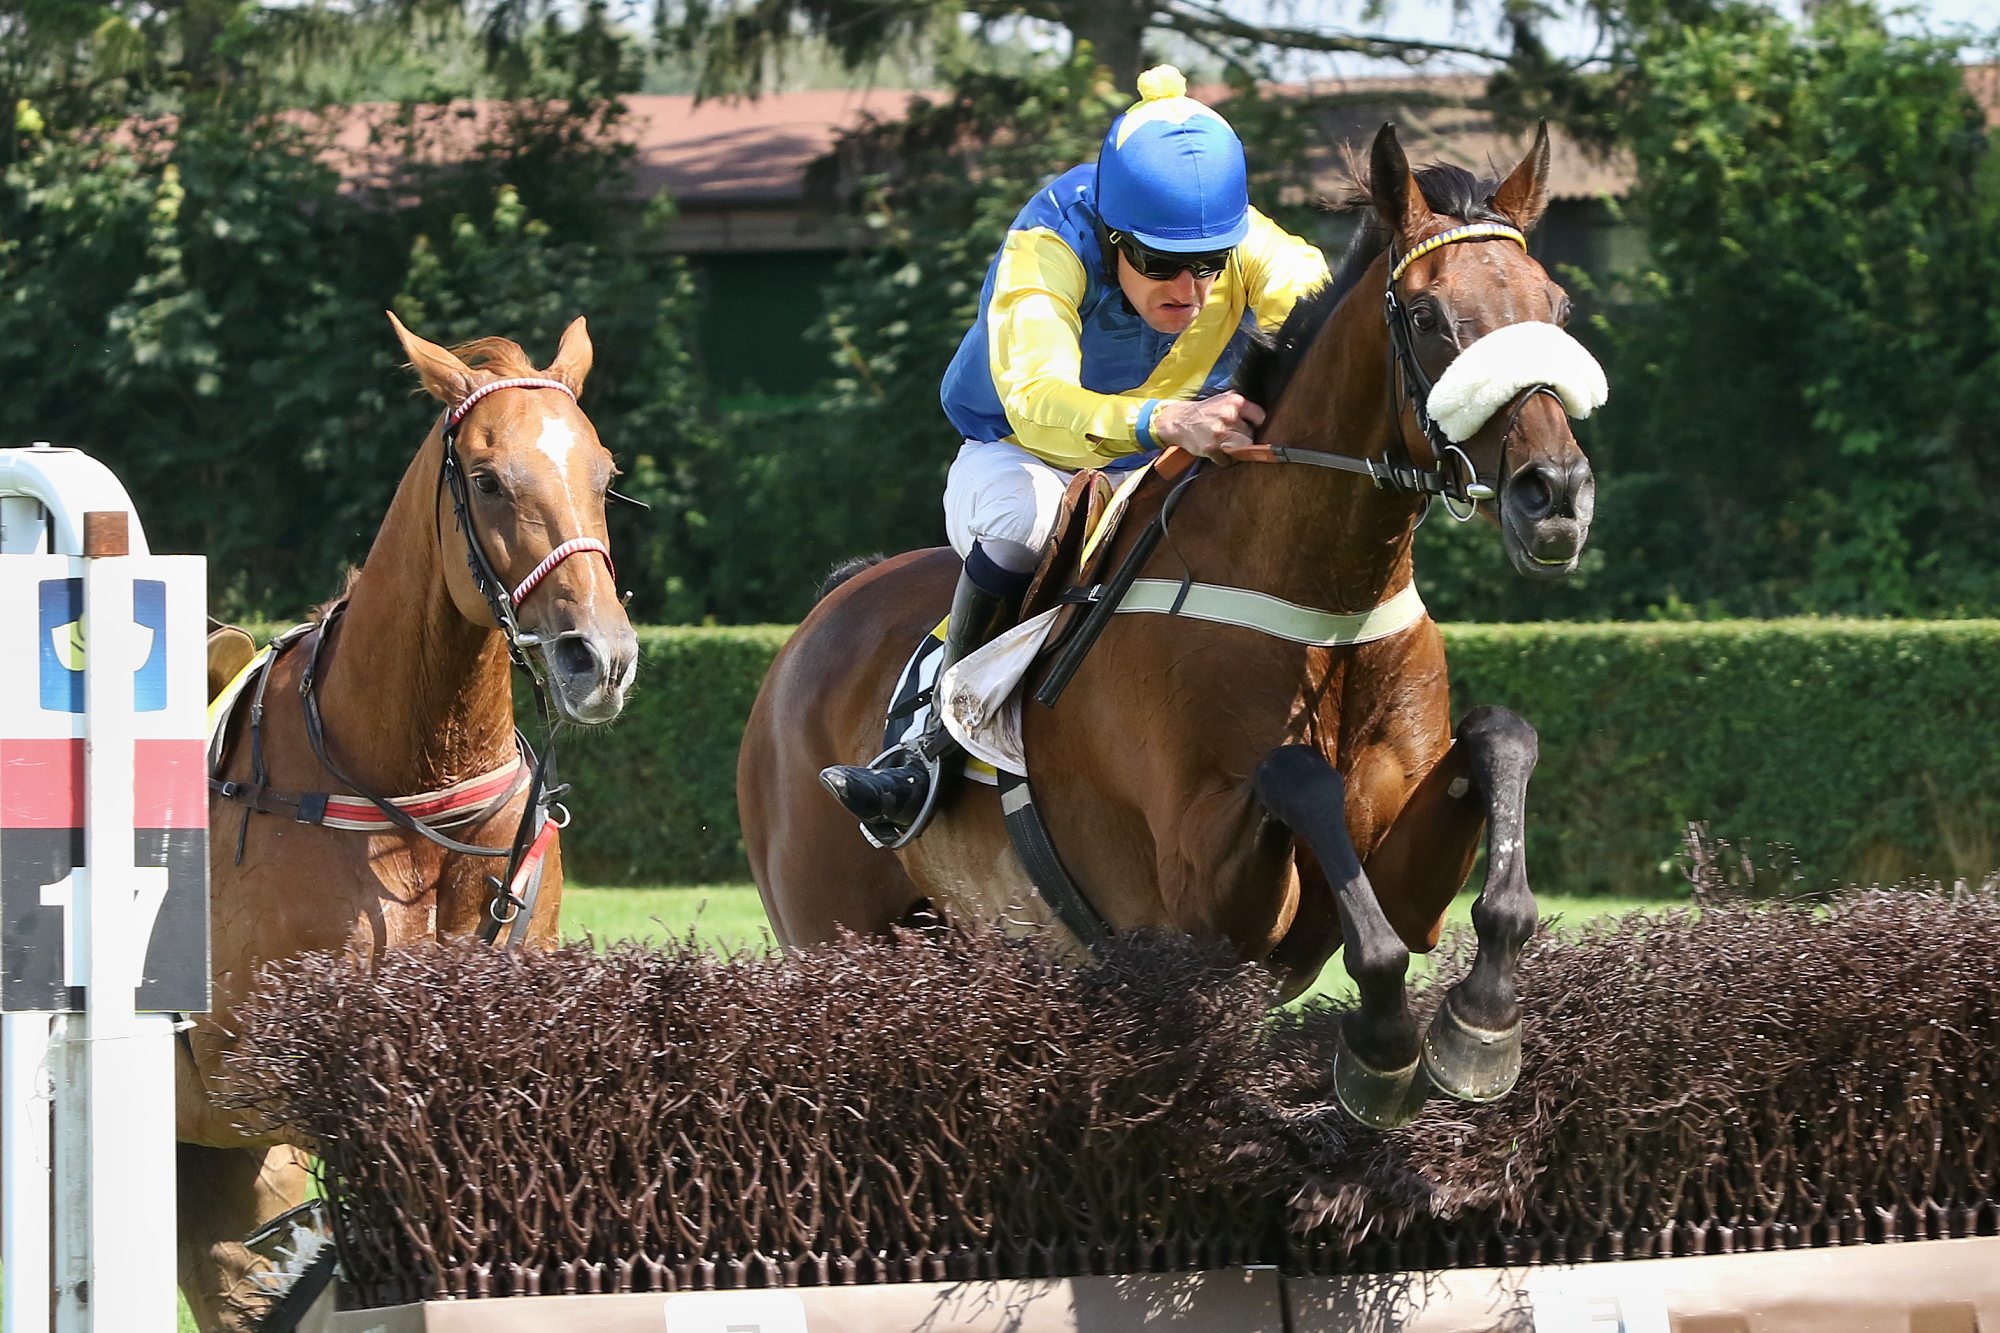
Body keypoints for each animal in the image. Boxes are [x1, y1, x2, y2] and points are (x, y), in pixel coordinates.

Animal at [738, 123, 1598, 1132]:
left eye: (1556, 305)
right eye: (1427, 317)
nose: (1555, 496)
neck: (1321, 597)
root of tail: (820, 617)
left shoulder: (1399, 874)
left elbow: (1501, 739)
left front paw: (1480, 1023)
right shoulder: (1204, 904)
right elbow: (1297, 776)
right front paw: (1385, 1047)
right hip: (830, 934)